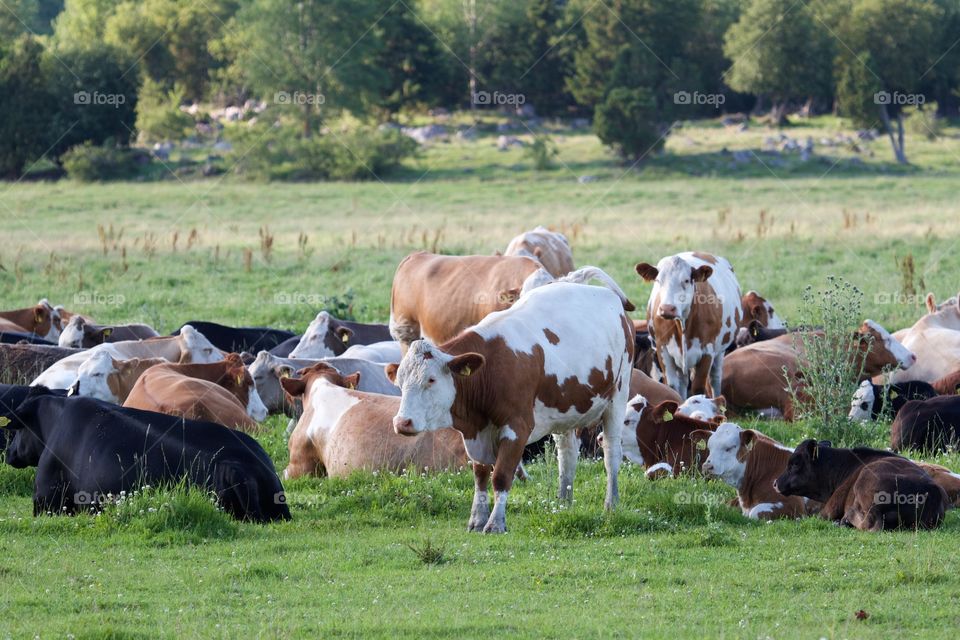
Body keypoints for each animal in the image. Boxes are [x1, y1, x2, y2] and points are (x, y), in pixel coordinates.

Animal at [386, 279, 634, 533]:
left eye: (431, 380)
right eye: (400, 382)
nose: (402, 422)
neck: (489, 368)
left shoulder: (517, 428)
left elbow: (501, 476)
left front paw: (496, 522)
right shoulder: (476, 432)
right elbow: (480, 475)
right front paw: (477, 519)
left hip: (618, 396)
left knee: (611, 453)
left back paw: (611, 503)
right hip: (566, 411)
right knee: (567, 455)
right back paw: (564, 502)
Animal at [635, 252, 742, 399]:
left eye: (686, 280)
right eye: (658, 281)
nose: (667, 309)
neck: (682, 324)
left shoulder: (707, 351)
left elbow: (698, 387)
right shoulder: (663, 349)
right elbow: (672, 387)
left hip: (720, 351)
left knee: (715, 378)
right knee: (683, 382)